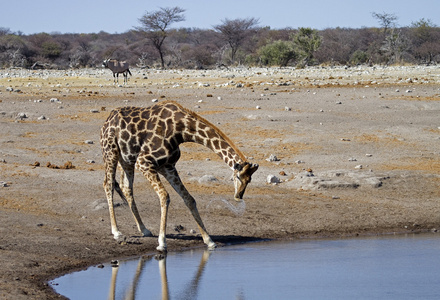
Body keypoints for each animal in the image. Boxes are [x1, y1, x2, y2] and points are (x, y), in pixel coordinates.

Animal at [100, 101, 258, 251]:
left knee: (126, 188)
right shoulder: (144, 161)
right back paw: (116, 232)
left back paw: (144, 229)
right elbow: (164, 196)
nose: (238, 196)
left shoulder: (168, 167)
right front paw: (162, 243)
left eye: (249, 180)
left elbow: (189, 199)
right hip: (111, 152)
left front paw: (209, 241)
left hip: (127, 160)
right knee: (108, 184)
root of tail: (107, 120)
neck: (182, 131)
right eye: (238, 177)